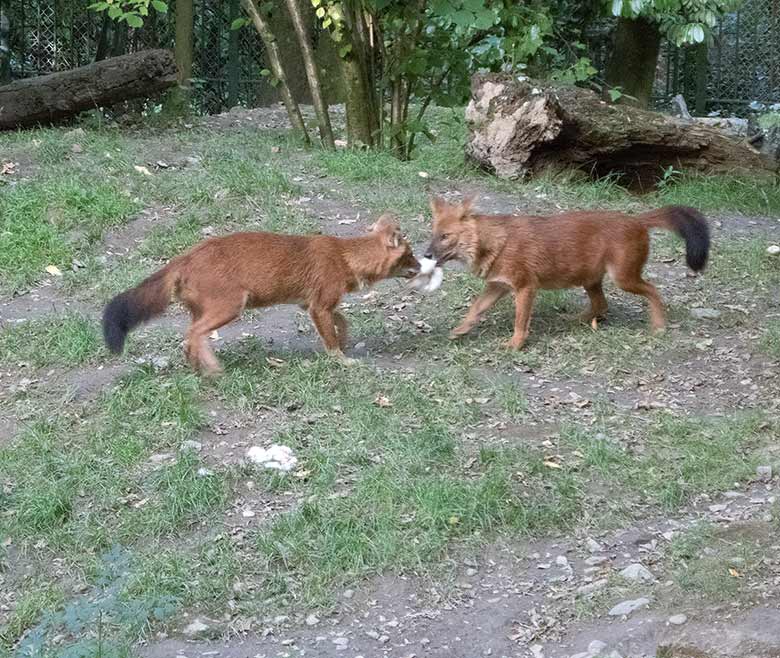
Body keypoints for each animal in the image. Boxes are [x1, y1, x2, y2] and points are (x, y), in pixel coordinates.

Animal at [105, 214, 420, 372]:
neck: (345, 256)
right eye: (410, 255)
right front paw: (342, 359)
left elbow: (342, 321)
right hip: (231, 306)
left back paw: (197, 368)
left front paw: (344, 341)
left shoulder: (311, 305)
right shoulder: (318, 306)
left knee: (188, 339)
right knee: (193, 334)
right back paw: (213, 368)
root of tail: (184, 257)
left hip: (203, 310)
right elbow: (330, 337)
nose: (423, 264)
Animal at [424, 196, 708, 346]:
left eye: (446, 237)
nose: (426, 254)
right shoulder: (498, 285)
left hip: (623, 277)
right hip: (590, 278)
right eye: (433, 234)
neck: (495, 241)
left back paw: (659, 325)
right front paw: (460, 330)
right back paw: (576, 320)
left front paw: (515, 345)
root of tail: (636, 219)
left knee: (653, 290)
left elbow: (520, 321)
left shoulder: (526, 287)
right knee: (602, 305)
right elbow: (476, 308)